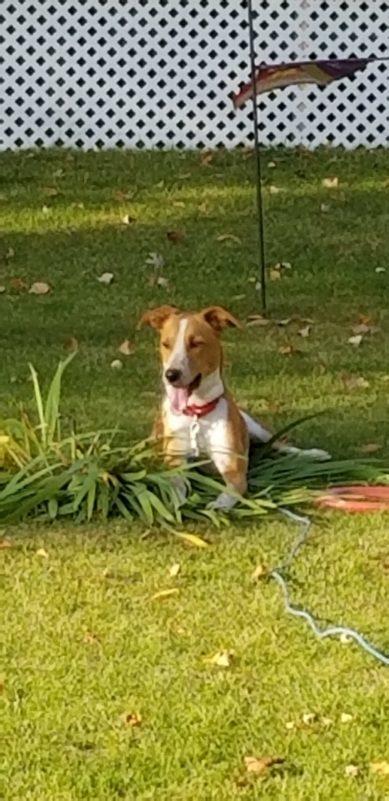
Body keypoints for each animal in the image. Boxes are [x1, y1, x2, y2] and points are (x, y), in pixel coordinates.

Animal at [140, 304, 328, 510]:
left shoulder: (232, 467)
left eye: (196, 343)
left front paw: (217, 505)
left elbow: (231, 490)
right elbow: (175, 483)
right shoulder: (175, 460)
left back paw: (313, 454)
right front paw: (176, 502)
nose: (171, 374)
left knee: (281, 443)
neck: (197, 415)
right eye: (166, 344)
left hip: (254, 426)